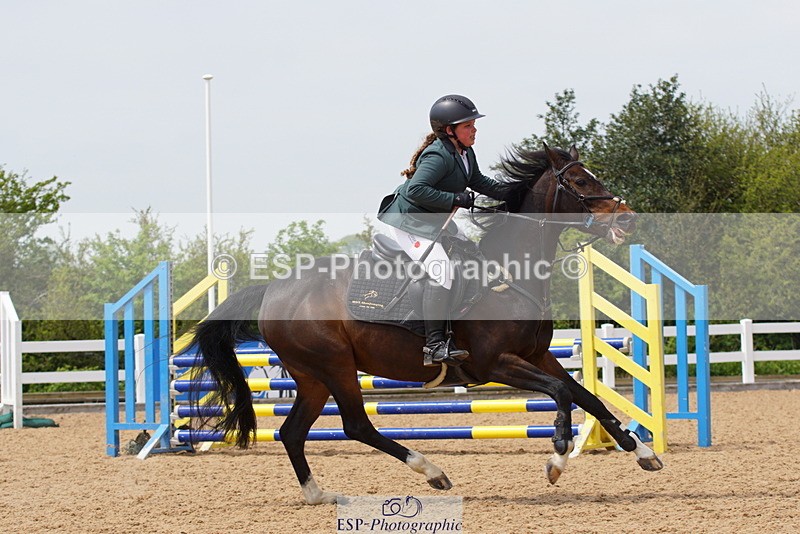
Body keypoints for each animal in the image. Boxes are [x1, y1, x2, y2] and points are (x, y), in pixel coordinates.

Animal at [185, 143, 663, 505]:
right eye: (580, 182)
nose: (627, 217)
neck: (509, 272)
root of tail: (273, 289)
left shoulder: (538, 355)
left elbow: (590, 398)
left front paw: (642, 452)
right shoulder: (496, 364)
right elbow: (563, 394)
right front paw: (557, 458)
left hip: (312, 375)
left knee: (292, 432)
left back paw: (319, 495)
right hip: (335, 365)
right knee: (356, 425)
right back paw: (432, 471)